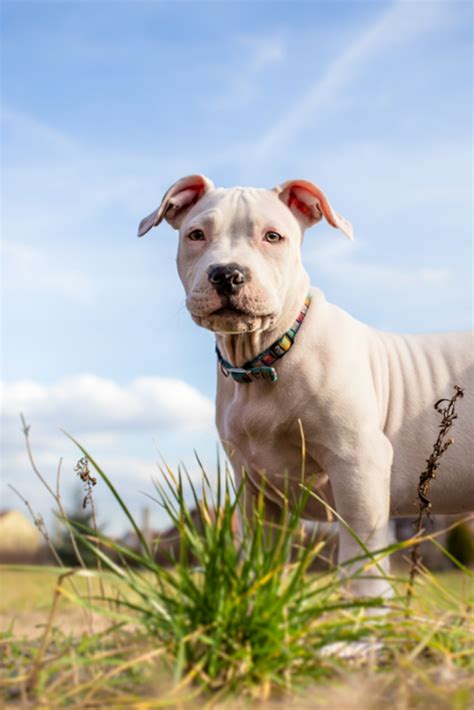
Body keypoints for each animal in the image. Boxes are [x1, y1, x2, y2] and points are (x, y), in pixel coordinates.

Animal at [139, 175, 472, 596]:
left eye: (273, 236)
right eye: (195, 235)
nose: (227, 274)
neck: (263, 362)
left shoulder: (359, 463)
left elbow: (361, 562)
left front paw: (366, 610)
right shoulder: (256, 488)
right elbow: (263, 563)